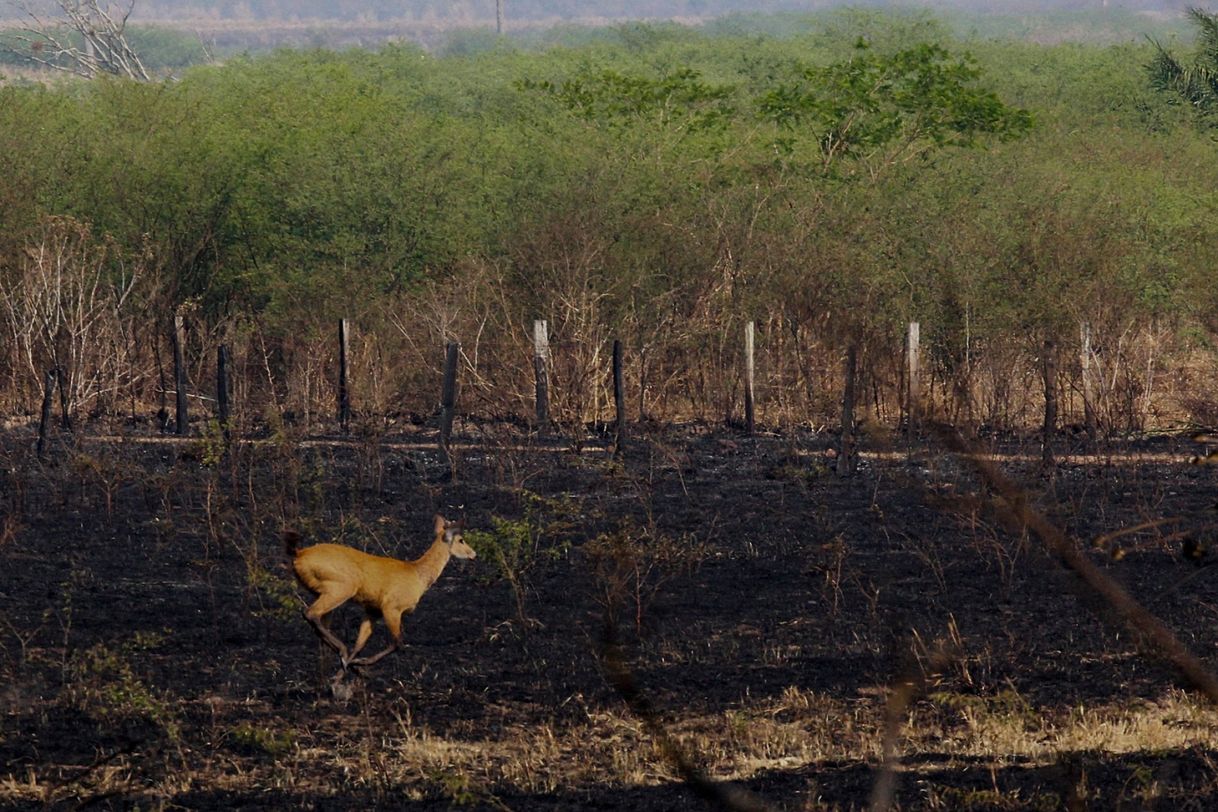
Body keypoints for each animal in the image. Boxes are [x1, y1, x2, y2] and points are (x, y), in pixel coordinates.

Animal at [285, 518, 475, 672]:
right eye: (461, 540)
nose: (474, 553)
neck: (418, 575)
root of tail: (299, 554)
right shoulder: (392, 606)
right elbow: (397, 642)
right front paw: (359, 664)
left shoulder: (372, 609)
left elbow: (360, 643)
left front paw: (350, 670)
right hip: (342, 587)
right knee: (311, 613)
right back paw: (342, 651)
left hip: (322, 590)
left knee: (318, 622)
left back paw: (340, 658)